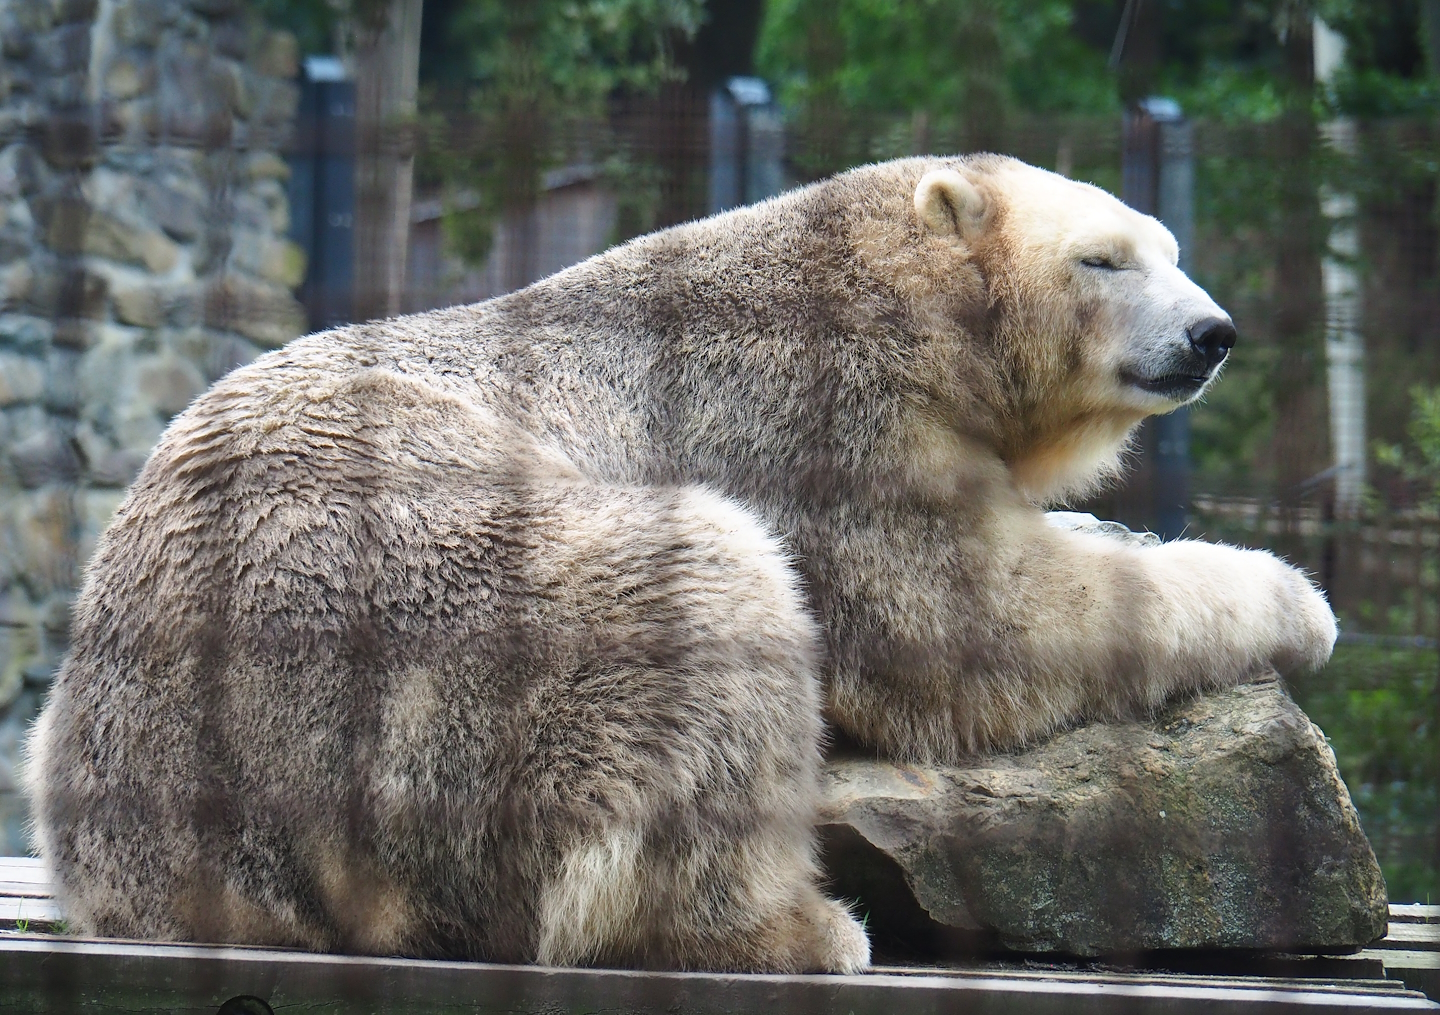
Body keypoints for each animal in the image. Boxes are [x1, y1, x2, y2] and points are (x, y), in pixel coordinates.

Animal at [25, 154, 1336, 973]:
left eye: (1169, 248)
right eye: (1105, 260)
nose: (1212, 333)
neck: (877, 281)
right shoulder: (820, 419)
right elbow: (964, 622)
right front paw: (1298, 600)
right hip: (426, 617)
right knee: (705, 592)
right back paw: (804, 928)